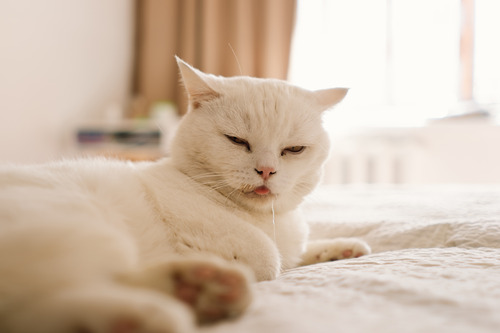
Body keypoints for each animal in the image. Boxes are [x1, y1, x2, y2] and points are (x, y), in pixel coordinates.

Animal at [0, 58, 372, 330]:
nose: (266, 170)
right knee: (44, 305)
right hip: (89, 230)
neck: (268, 219)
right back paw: (153, 312)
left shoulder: (292, 241)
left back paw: (197, 290)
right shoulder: (197, 223)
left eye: (293, 149)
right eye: (237, 141)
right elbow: (270, 258)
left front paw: (342, 249)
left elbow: (299, 252)